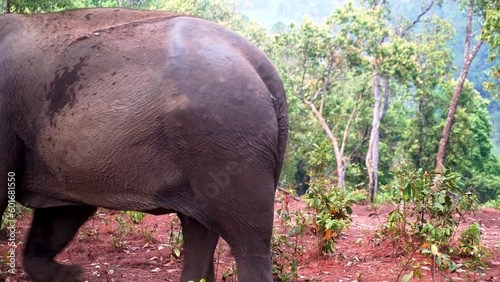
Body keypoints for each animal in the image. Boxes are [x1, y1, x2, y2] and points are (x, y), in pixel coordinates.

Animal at [0, 8, 288, 282]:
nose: (76, 270)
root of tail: (264, 68)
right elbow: (65, 211)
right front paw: (72, 275)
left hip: (227, 143)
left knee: (247, 239)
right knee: (199, 230)